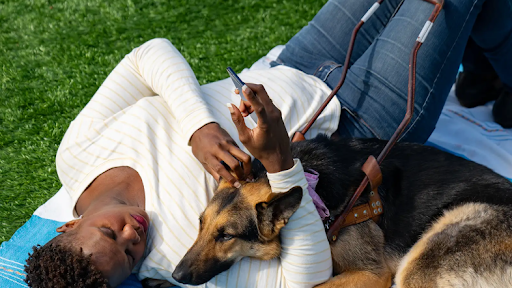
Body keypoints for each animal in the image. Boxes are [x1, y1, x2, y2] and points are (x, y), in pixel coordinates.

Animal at [171, 136, 512, 286]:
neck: (313, 188)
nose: (176, 275)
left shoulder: (371, 273)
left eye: (226, 236)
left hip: (421, 264)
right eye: (200, 225)